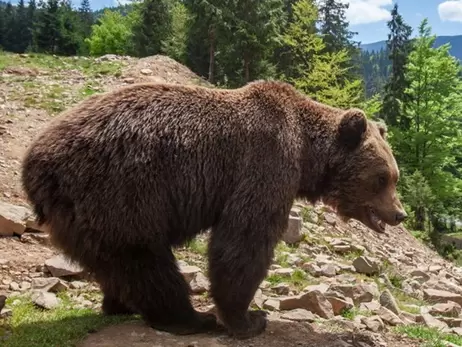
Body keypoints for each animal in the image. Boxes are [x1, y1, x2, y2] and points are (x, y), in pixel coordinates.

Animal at [20, 79, 404, 340]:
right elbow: (244, 239)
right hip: (119, 190)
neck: (307, 153)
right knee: (144, 259)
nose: (399, 214)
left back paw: (119, 304)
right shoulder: (265, 162)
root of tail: (35, 163)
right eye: (382, 178)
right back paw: (187, 318)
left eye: (393, 176)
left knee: (117, 262)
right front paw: (248, 319)